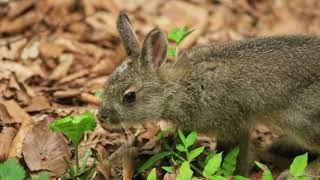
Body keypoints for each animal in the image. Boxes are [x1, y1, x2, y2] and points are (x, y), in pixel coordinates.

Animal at [98, 11, 320, 178]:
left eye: (129, 97)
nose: (101, 117)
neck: (179, 89)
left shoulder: (235, 124)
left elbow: (236, 156)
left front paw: (233, 174)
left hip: (299, 119)